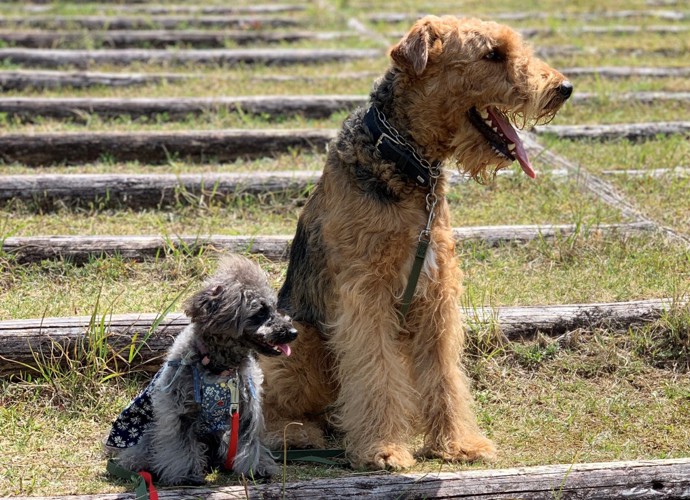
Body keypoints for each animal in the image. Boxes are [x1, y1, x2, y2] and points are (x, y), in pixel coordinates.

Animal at [105, 254, 296, 484]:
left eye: (274, 308)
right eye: (260, 312)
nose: (293, 332)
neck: (219, 367)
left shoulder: (246, 409)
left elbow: (250, 442)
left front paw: (256, 469)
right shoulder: (180, 411)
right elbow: (181, 446)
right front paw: (186, 475)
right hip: (147, 432)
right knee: (140, 453)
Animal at [262, 14, 568, 468]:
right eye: (492, 54)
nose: (564, 88)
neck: (407, 164)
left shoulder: (437, 293)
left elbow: (444, 376)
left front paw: (458, 443)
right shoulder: (366, 293)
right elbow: (376, 371)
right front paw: (384, 449)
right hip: (301, 344)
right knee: (265, 406)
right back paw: (297, 433)